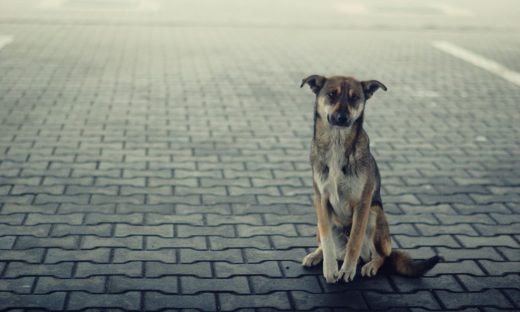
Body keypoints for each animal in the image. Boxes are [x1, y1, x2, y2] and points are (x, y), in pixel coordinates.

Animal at [298, 75, 440, 282]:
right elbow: (327, 240)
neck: (337, 143)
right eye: (331, 94)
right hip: (321, 221)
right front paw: (330, 268)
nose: (342, 118)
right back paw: (316, 255)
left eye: (355, 97)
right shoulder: (321, 200)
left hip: (375, 215)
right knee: (325, 242)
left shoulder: (362, 203)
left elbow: (355, 240)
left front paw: (348, 270)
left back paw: (371, 265)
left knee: (382, 255)